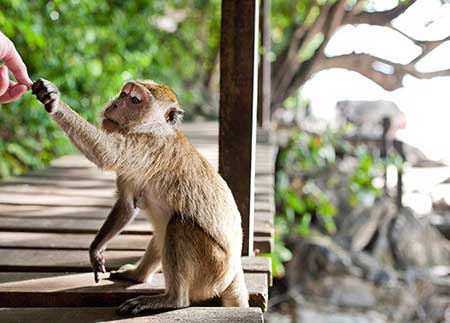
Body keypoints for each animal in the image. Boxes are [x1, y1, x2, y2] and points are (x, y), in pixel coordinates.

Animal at [31, 78, 250, 316]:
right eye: (123, 94)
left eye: (135, 100)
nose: (115, 104)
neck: (154, 128)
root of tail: (235, 272)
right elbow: (127, 205)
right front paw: (96, 249)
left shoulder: (149, 146)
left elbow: (106, 153)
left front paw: (54, 101)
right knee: (162, 232)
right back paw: (137, 275)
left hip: (213, 268)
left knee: (178, 225)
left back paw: (172, 299)